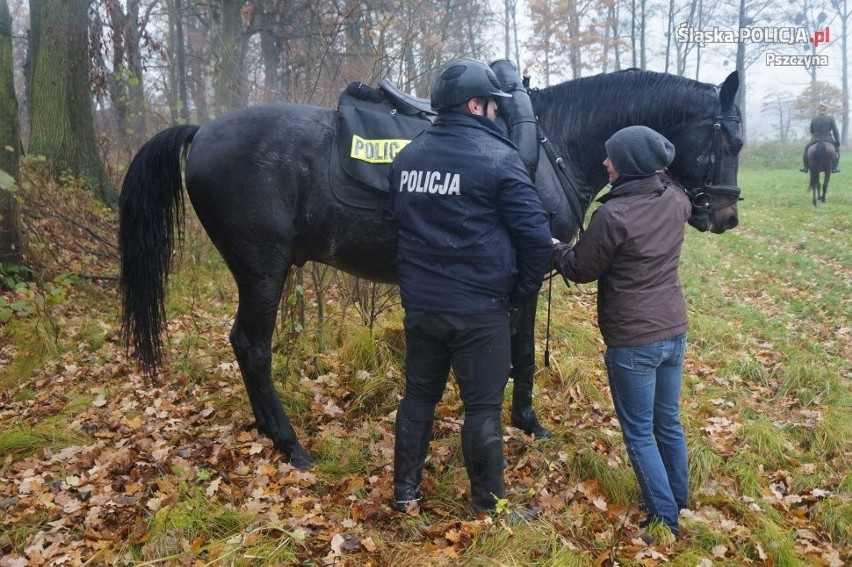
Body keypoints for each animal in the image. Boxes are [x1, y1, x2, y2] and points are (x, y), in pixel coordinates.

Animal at [116, 70, 744, 470]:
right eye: (731, 139)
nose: (727, 216)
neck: (551, 143)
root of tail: (202, 130)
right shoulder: (522, 279)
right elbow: (518, 356)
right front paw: (526, 420)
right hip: (263, 272)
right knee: (252, 347)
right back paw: (290, 444)